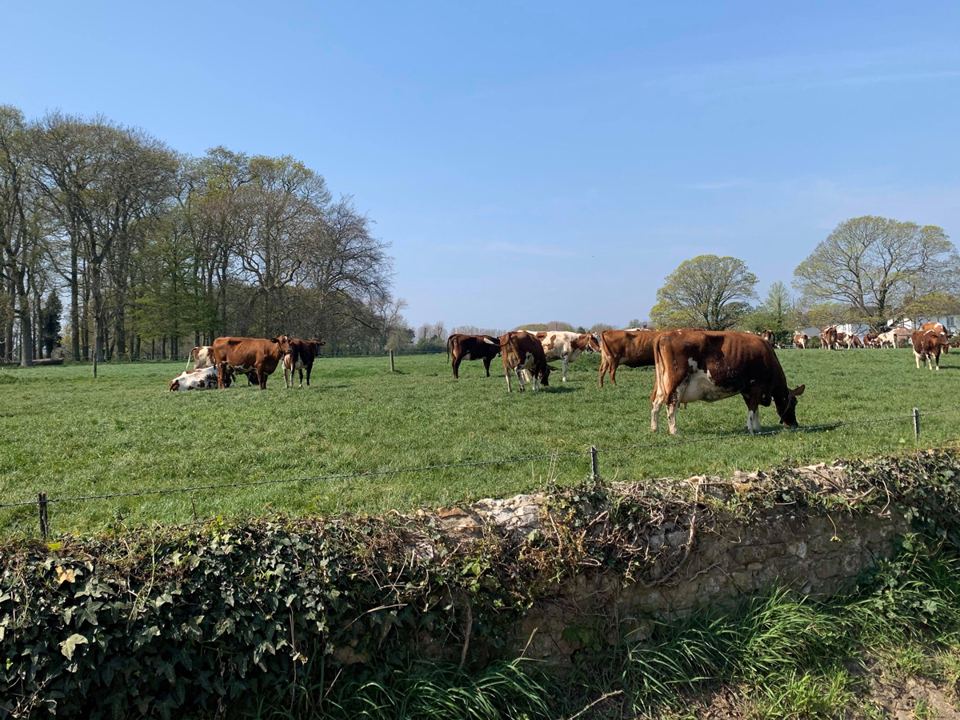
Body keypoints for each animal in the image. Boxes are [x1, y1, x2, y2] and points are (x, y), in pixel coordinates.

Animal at [650, 329, 805, 435]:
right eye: (794, 403)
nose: (795, 424)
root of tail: (664, 334)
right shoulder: (756, 386)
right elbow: (752, 408)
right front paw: (751, 429)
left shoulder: (747, 389)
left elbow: (754, 409)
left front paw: (758, 427)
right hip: (677, 382)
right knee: (671, 404)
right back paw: (674, 431)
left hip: (663, 384)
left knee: (656, 403)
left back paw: (654, 428)